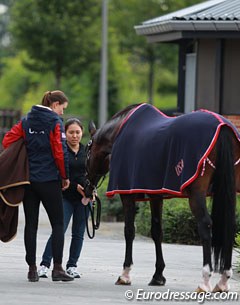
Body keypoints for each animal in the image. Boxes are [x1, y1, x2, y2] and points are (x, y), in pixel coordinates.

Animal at [83, 103, 240, 290]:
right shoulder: (155, 195)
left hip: (197, 194)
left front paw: (125, 275)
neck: (118, 132)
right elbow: (157, 231)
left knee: (205, 224)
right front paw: (158, 276)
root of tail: (223, 127)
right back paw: (223, 281)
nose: (87, 188)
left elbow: (129, 231)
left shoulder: (127, 195)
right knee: (230, 225)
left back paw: (205, 281)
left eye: (87, 151)